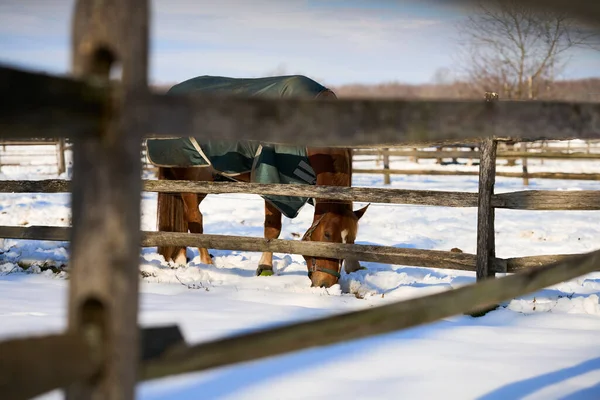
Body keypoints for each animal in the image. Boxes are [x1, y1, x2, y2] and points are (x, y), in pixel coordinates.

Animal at [148, 74, 368, 288]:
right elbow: (272, 229)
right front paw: (265, 268)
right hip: (190, 179)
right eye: (327, 235)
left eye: (351, 238)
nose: (326, 283)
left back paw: (180, 258)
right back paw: (205, 262)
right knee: (195, 218)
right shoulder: (275, 186)